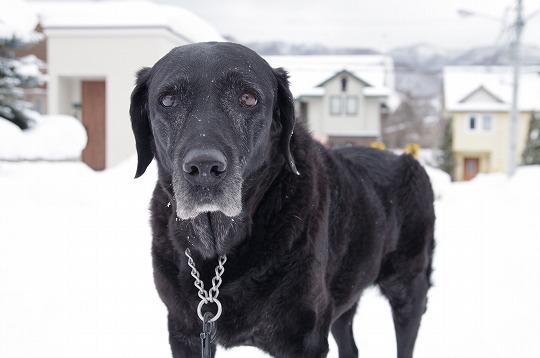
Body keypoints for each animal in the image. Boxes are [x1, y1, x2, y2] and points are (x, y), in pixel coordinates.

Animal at [130, 40, 434, 356]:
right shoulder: (186, 330)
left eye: (248, 98)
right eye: (168, 100)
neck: (219, 251)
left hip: (409, 290)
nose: (203, 168)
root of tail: (406, 159)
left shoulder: (305, 338)